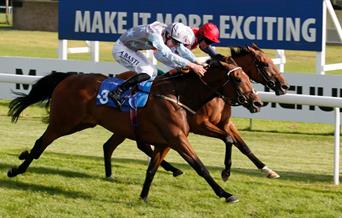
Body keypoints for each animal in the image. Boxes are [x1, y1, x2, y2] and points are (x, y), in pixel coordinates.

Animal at [7, 56, 260, 203]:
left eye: (249, 77)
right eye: (238, 79)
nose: (257, 102)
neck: (178, 95)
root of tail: (68, 77)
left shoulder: (166, 142)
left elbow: (151, 170)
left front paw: (144, 196)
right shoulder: (178, 138)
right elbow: (200, 167)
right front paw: (225, 193)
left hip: (83, 123)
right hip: (64, 122)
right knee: (41, 144)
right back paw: (16, 170)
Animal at [102, 43, 288, 181]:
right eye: (265, 64)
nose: (284, 85)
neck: (213, 91)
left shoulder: (225, 123)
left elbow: (242, 145)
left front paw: (267, 170)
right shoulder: (200, 125)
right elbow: (229, 140)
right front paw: (226, 172)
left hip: (126, 126)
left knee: (118, 145)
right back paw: (173, 169)